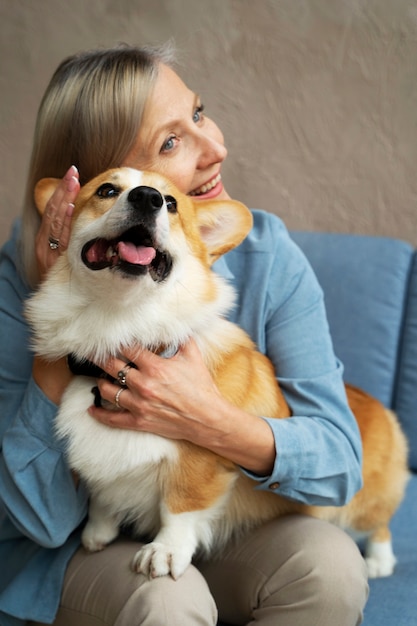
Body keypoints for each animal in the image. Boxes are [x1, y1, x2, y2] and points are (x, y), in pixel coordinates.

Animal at [26, 167, 410, 580]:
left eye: (171, 203)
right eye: (107, 190)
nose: (147, 198)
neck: (123, 321)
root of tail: (375, 403)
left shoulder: (199, 461)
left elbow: (179, 507)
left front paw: (165, 551)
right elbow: (103, 496)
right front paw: (98, 532)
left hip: (360, 504)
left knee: (381, 521)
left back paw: (379, 560)